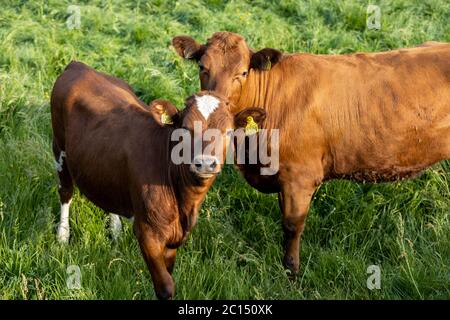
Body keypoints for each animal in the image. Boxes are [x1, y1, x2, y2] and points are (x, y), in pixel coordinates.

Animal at [51, 61, 266, 298]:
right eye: (185, 129)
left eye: (228, 132)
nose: (205, 163)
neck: (183, 201)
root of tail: (79, 66)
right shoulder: (147, 233)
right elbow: (165, 286)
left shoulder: (174, 238)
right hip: (59, 146)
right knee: (65, 191)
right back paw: (62, 236)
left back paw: (115, 230)